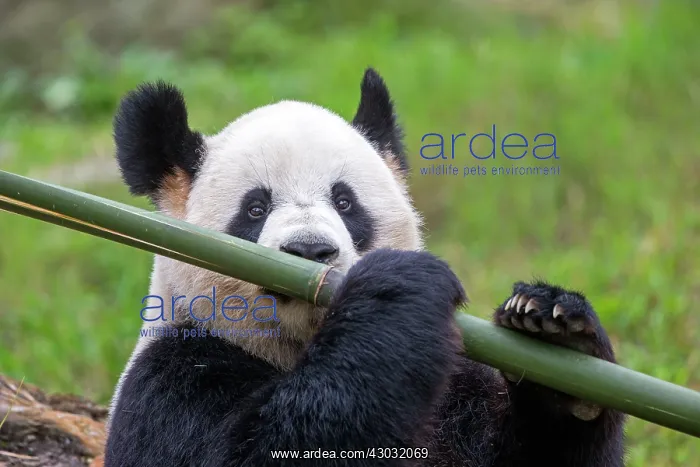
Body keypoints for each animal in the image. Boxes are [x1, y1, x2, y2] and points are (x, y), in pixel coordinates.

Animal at [105, 68, 625, 466]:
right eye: (254, 209)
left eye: (345, 201)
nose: (310, 251)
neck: (307, 344)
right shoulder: (172, 380)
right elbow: (272, 448)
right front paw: (398, 289)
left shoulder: (459, 386)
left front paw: (555, 329)